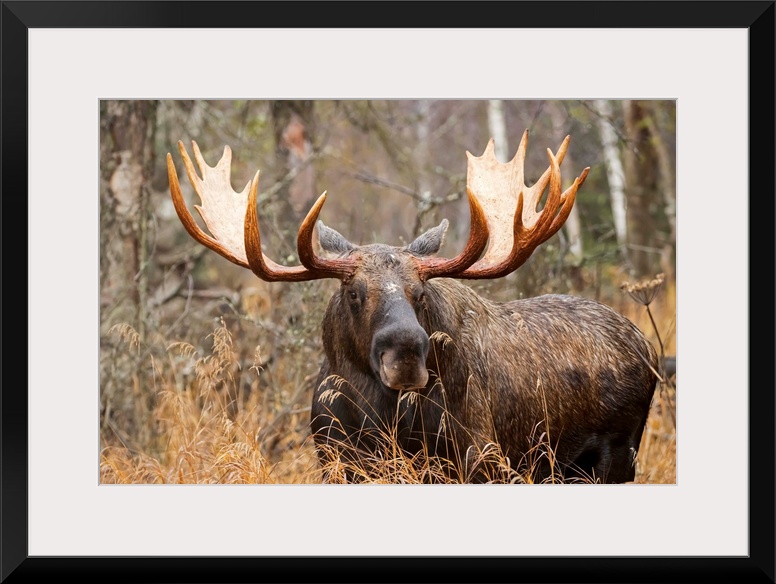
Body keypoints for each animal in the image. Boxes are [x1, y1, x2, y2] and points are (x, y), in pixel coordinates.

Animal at [167, 131, 656, 484]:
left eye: (420, 292)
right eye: (354, 292)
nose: (405, 354)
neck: (378, 417)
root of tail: (647, 348)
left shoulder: (478, 460)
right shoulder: (337, 462)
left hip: (618, 454)